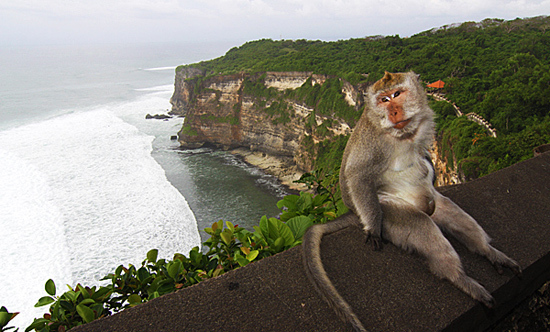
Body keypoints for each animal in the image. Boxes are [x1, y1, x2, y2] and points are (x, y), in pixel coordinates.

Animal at [304, 72, 524, 332]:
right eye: (384, 99)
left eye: (397, 94)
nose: (394, 111)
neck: (403, 133)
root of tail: (353, 211)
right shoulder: (373, 140)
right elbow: (358, 175)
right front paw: (374, 230)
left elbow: (424, 156)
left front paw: (429, 164)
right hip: (389, 210)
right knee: (421, 225)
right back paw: (458, 277)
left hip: (434, 204)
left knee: (451, 214)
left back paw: (487, 251)